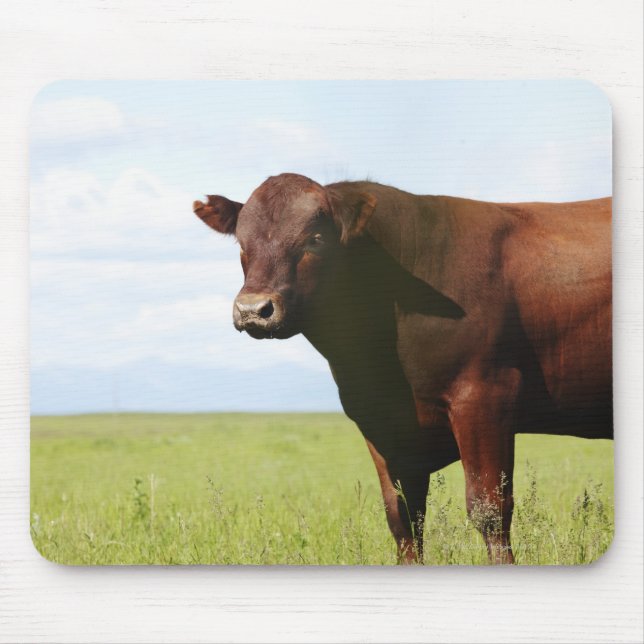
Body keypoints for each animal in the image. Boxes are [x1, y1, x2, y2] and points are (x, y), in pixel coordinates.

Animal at [192, 173, 612, 564]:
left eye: (315, 238)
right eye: (242, 243)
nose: (253, 309)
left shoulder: (485, 398)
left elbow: (490, 511)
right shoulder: (380, 422)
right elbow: (403, 517)